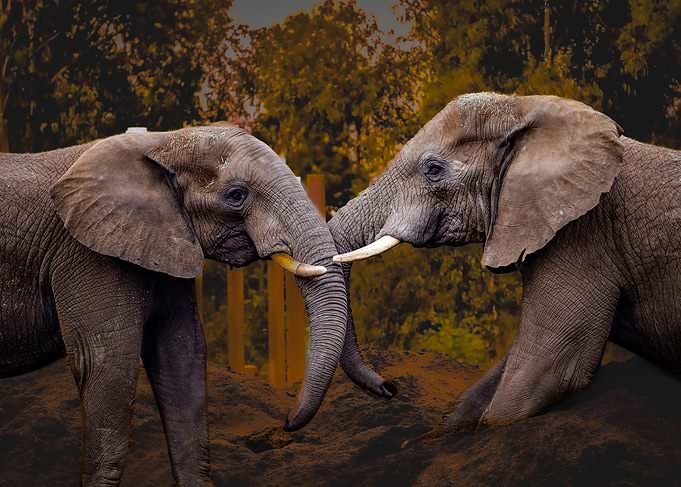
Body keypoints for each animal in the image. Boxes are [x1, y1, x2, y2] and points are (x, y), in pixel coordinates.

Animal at [0, 124, 347, 485]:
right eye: (236, 195)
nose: (286, 422)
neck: (163, 142)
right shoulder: (86, 253)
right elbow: (109, 362)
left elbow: (181, 356)